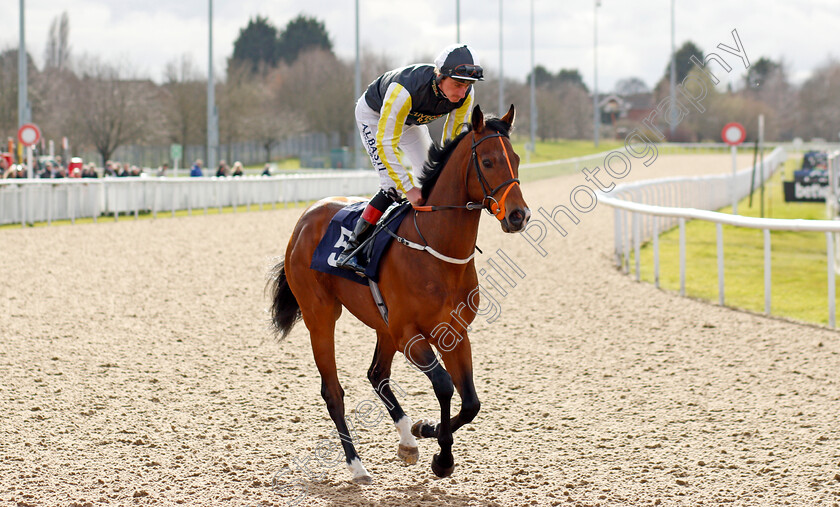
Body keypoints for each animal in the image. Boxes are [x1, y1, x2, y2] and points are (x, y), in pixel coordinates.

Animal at [268, 104, 532, 484]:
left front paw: (425, 431)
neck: (436, 249)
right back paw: (357, 466)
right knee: (333, 392)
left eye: (516, 158)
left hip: (382, 325)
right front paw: (442, 455)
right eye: (487, 161)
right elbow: (444, 385)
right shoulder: (410, 334)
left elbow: (470, 402)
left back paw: (407, 439)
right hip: (321, 316)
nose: (518, 215)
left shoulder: (454, 332)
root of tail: (305, 219)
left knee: (377, 375)